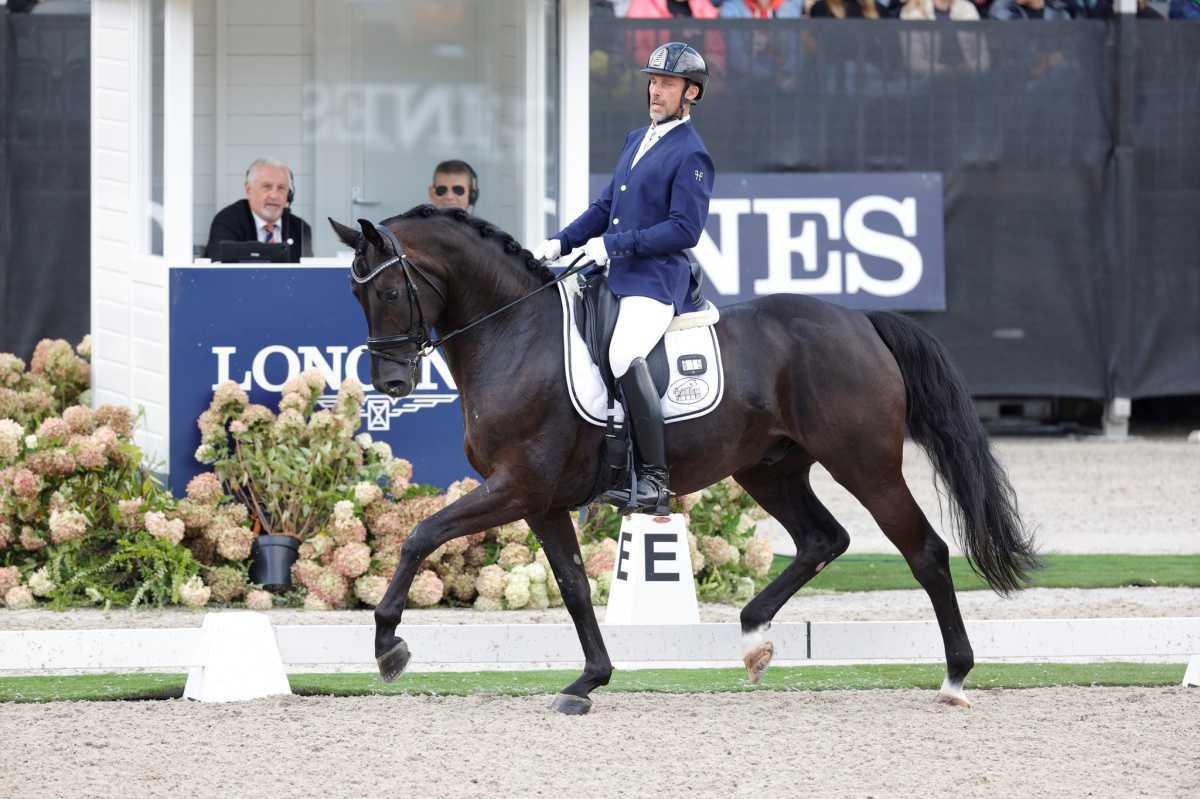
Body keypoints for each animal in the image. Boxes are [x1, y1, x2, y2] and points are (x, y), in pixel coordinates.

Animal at [329, 205, 1038, 715]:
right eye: (356, 296)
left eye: (389, 292)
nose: (392, 382)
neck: (514, 335)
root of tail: (861, 322)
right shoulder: (542, 501)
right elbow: (575, 588)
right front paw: (588, 681)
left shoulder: (517, 486)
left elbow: (421, 535)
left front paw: (388, 645)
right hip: (769, 468)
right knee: (822, 538)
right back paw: (754, 639)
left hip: (865, 466)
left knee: (925, 552)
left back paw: (954, 678)